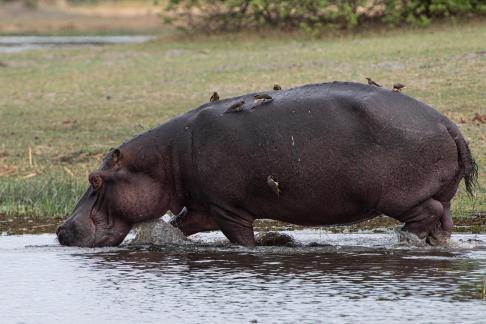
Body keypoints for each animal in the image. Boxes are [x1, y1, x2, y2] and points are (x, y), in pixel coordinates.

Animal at [55, 82, 476, 247]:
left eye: (95, 179)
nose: (60, 229)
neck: (163, 160)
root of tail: (448, 123)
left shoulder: (228, 208)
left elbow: (242, 240)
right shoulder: (204, 206)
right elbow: (181, 225)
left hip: (397, 195)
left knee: (427, 213)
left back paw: (404, 238)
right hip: (439, 194)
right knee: (444, 220)